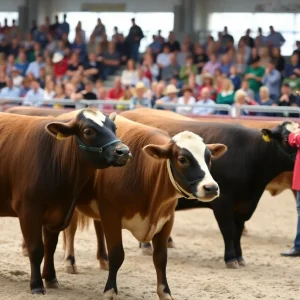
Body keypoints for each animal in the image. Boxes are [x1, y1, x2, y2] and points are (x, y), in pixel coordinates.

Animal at [0, 108, 131, 292]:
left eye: (115, 127)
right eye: (88, 131)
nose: (123, 151)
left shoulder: (58, 213)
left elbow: (50, 247)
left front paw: (51, 278)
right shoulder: (28, 210)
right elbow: (36, 248)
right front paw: (36, 285)